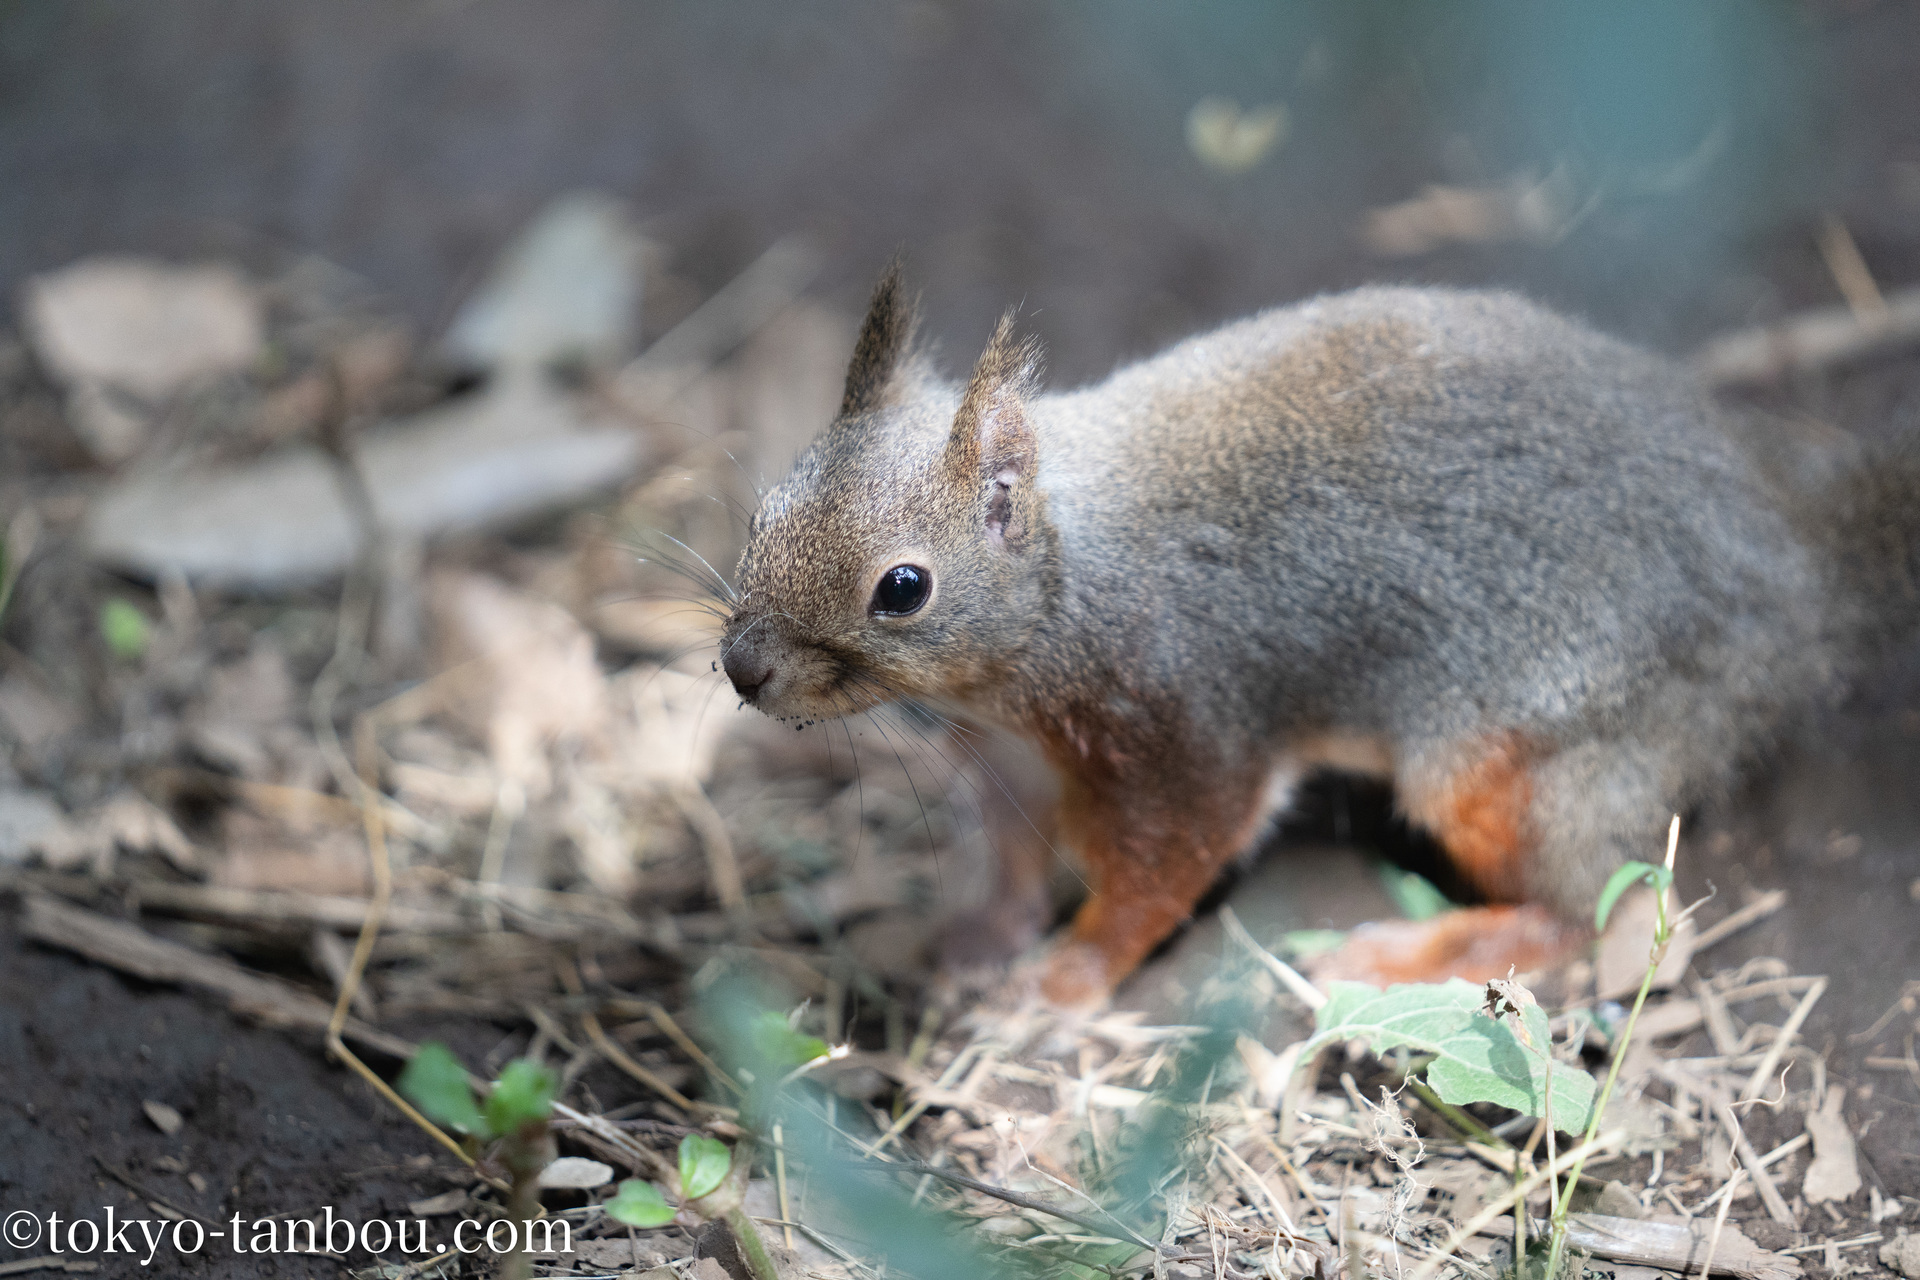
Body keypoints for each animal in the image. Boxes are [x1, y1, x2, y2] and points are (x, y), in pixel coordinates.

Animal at [721, 268, 1920, 1013]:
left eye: (903, 589)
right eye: (761, 512)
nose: (742, 667)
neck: (1068, 583)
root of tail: (1795, 569)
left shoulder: (1184, 720)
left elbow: (1168, 861)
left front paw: (1065, 979)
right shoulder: (1007, 758)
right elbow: (1013, 848)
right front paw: (982, 934)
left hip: (1524, 756)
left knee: (1602, 908)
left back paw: (1428, 948)